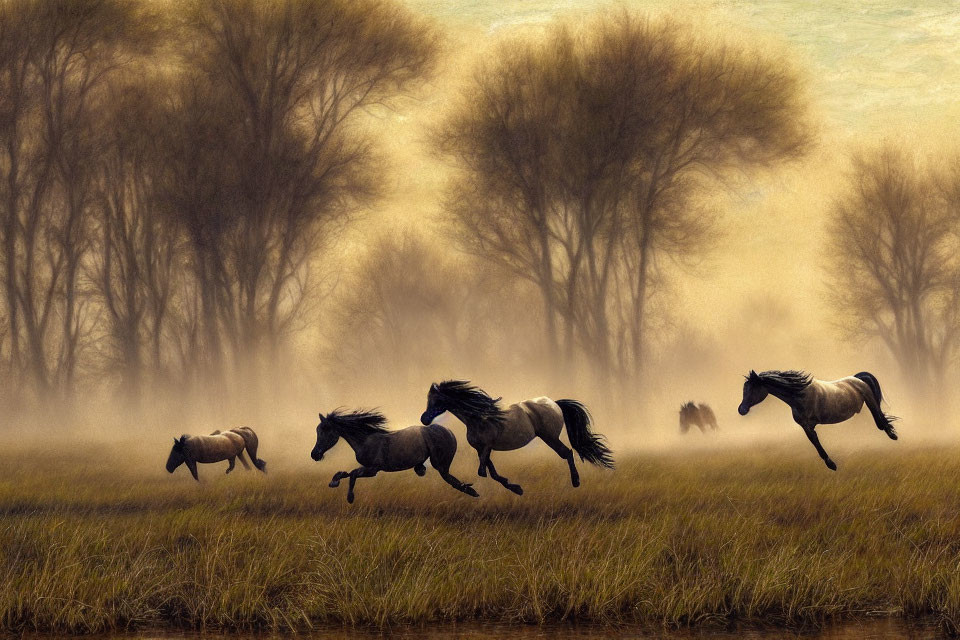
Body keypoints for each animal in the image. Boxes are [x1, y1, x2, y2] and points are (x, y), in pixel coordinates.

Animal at [310, 410, 478, 504]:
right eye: (318, 430)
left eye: (325, 430)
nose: (314, 454)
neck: (365, 440)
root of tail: (450, 433)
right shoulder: (369, 468)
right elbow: (346, 473)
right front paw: (334, 481)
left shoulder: (373, 469)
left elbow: (352, 474)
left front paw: (350, 498)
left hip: (440, 463)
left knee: (451, 479)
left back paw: (472, 492)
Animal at [420, 380, 616, 496]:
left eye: (437, 401)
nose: (424, 419)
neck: (478, 418)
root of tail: (554, 403)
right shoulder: (481, 449)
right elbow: (490, 471)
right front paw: (515, 488)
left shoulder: (486, 447)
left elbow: (482, 472)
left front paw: (515, 488)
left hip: (550, 437)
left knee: (567, 453)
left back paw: (576, 482)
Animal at [740, 370, 896, 470]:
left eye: (752, 389)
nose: (741, 410)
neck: (800, 395)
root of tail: (857, 378)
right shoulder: (806, 426)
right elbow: (815, 443)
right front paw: (830, 464)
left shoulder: (809, 425)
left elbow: (816, 443)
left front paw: (831, 465)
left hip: (870, 401)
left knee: (879, 417)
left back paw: (893, 435)